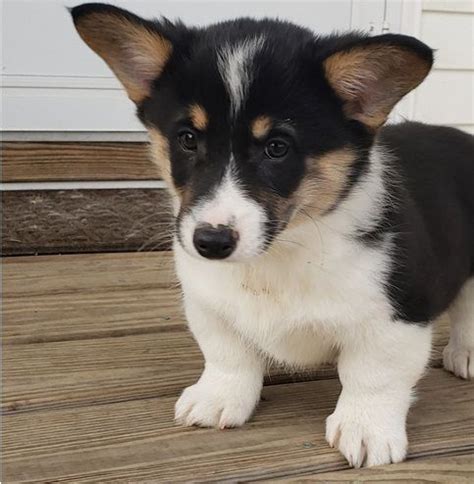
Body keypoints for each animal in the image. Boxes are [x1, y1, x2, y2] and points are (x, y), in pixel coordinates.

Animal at [71, 1, 474, 466]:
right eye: (187, 139)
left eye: (277, 148)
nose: (210, 243)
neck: (282, 251)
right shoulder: (207, 303)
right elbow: (227, 354)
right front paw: (218, 399)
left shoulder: (398, 316)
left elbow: (374, 376)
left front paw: (366, 429)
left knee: (467, 309)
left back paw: (465, 353)